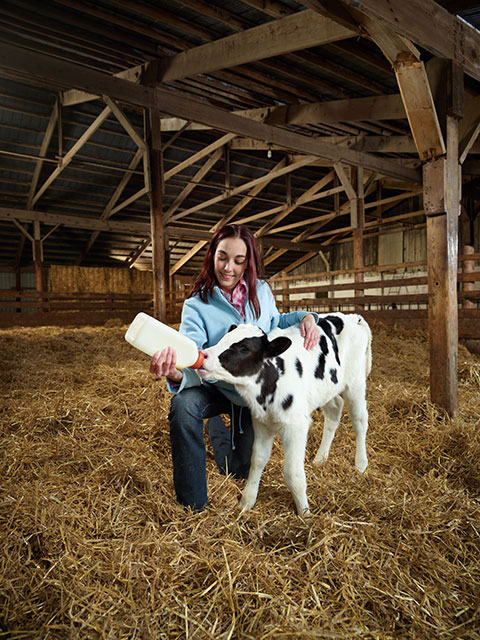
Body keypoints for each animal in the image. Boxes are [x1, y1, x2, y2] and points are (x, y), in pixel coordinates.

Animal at [199, 312, 372, 516]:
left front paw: (305, 513)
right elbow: (257, 460)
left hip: (355, 384)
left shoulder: (295, 426)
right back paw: (321, 458)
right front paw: (247, 501)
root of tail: (351, 316)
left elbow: (292, 473)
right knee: (335, 409)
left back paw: (360, 463)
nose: (204, 355)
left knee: (360, 421)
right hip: (325, 389)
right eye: (223, 338)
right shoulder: (261, 422)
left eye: (244, 348)